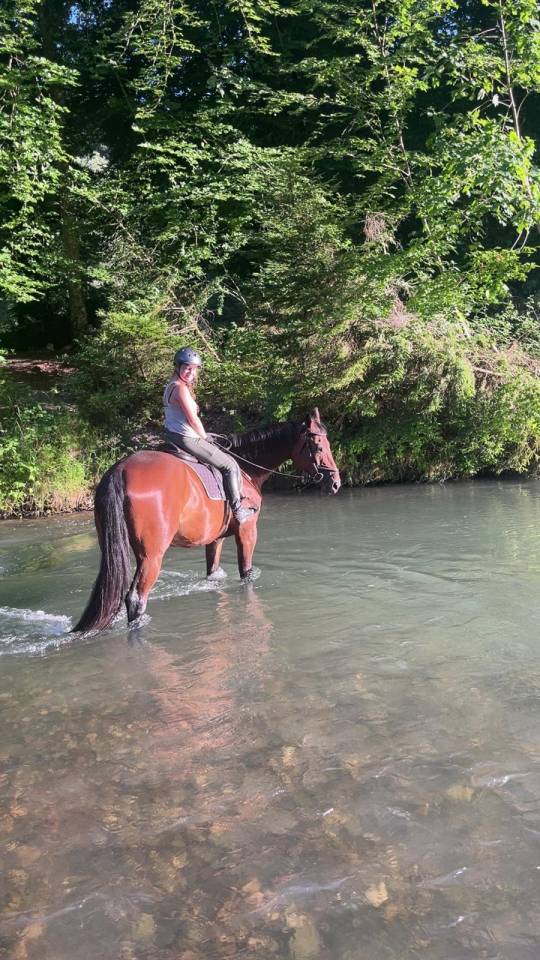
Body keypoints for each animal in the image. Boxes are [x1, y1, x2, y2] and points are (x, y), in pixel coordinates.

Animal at [73, 408, 341, 633]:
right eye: (318, 447)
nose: (336, 483)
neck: (246, 468)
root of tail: (120, 470)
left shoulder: (215, 539)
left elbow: (213, 574)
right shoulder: (247, 531)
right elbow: (247, 574)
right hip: (151, 556)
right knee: (136, 598)